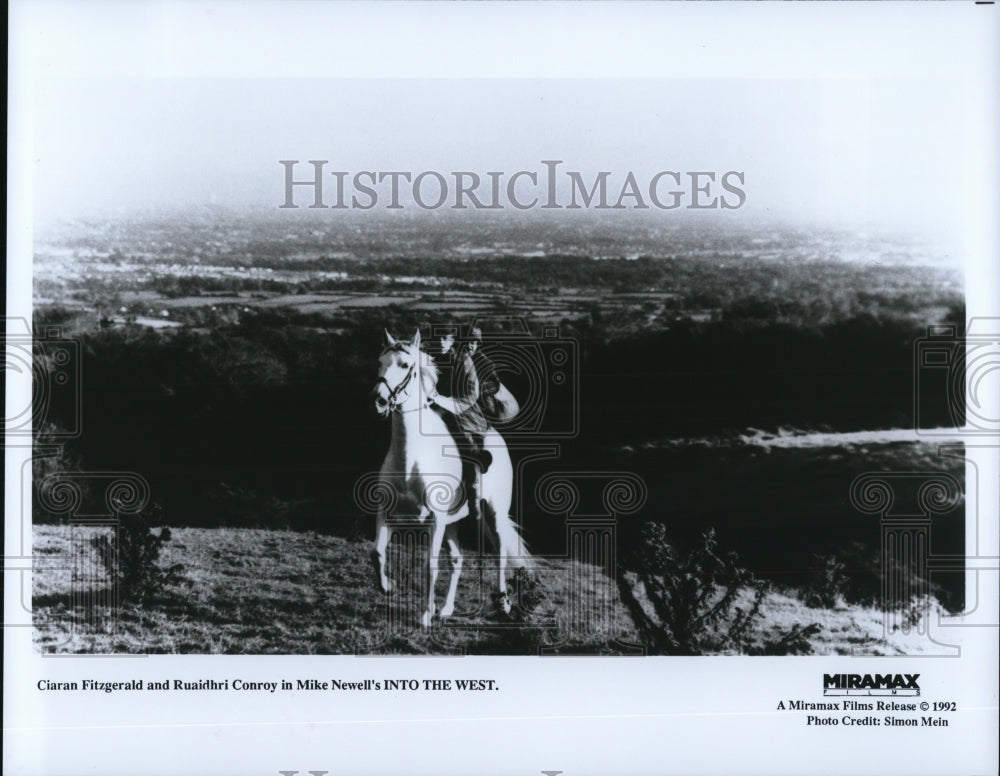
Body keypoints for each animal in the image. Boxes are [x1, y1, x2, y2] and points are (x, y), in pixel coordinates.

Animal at [374, 328, 532, 624]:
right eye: (380, 362)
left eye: (405, 365)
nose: (379, 400)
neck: (410, 459)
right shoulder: (386, 513)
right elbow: (377, 552)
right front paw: (387, 587)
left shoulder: (434, 519)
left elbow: (430, 566)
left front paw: (425, 615)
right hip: (453, 522)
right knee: (458, 559)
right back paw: (446, 609)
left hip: (493, 513)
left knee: (500, 555)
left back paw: (503, 605)